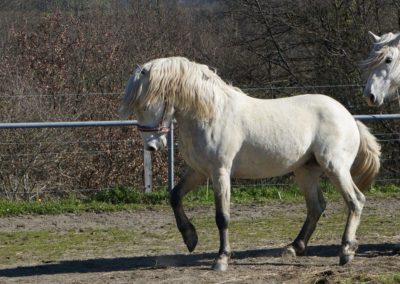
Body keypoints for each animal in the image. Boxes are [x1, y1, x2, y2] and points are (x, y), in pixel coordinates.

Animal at [119, 56, 382, 272]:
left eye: (145, 104)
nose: (152, 147)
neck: (211, 114)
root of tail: (349, 118)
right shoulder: (199, 171)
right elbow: (174, 196)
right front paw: (190, 238)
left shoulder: (220, 171)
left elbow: (222, 217)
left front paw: (221, 260)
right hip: (305, 171)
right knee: (316, 207)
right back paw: (294, 247)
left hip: (335, 167)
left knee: (355, 201)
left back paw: (346, 251)